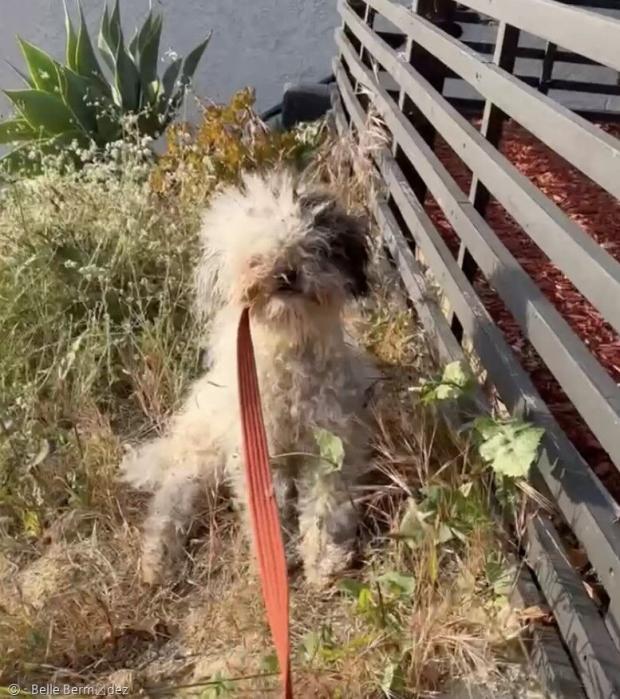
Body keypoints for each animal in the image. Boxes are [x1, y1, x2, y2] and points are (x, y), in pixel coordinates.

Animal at [120, 170, 372, 584]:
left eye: (312, 244)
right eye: (254, 255)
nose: (285, 272)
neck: (287, 350)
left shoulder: (329, 443)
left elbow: (325, 504)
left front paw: (322, 560)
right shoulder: (256, 450)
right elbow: (267, 509)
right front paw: (274, 556)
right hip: (200, 457)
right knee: (171, 498)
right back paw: (158, 557)